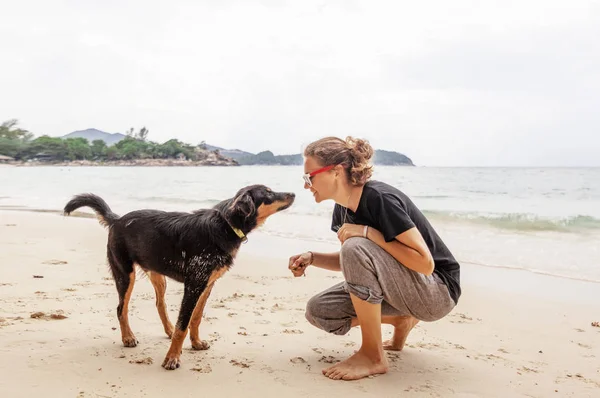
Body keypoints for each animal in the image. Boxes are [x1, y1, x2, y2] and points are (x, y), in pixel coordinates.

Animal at [62, 185, 292, 368]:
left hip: (157, 275)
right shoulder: (193, 285)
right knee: (121, 308)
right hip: (125, 275)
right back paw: (128, 337)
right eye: (268, 193)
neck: (226, 225)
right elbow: (183, 325)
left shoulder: (207, 285)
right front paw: (172, 358)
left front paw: (196, 343)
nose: (293, 193)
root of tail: (117, 220)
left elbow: (195, 318)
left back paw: (167, 329)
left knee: (159, 303)